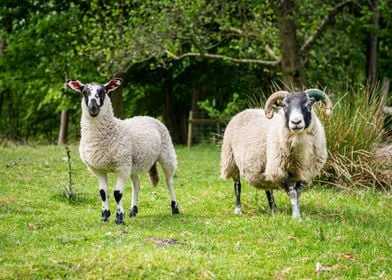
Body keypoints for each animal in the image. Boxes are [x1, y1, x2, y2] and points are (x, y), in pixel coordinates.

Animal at [66, 77, 180, 224]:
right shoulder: (99, 169)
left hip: (166, 153)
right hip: (132, 163)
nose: (93, 107)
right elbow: (103, 193)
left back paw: (175, 208)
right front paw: (105, 216)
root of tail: (147, 116)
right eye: (84, 92)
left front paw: (119, 217)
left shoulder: (121, 167)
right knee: (136, 185)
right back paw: (133, 210)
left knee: (169, 181)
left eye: (103, 92)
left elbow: (117, 194)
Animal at [220, 89, 330, 219]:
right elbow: (293, 193)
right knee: (237, 185)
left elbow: (298, 193)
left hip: (264, 165)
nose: (296, 122)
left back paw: (274, 210)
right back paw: (238, 210)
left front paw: (297, 212)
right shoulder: (280, 170)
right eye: (284, 105)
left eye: (308, 104)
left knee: (267, 187)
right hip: (231, 159)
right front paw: (296, 217)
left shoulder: (305, 172)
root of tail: (245, 110)